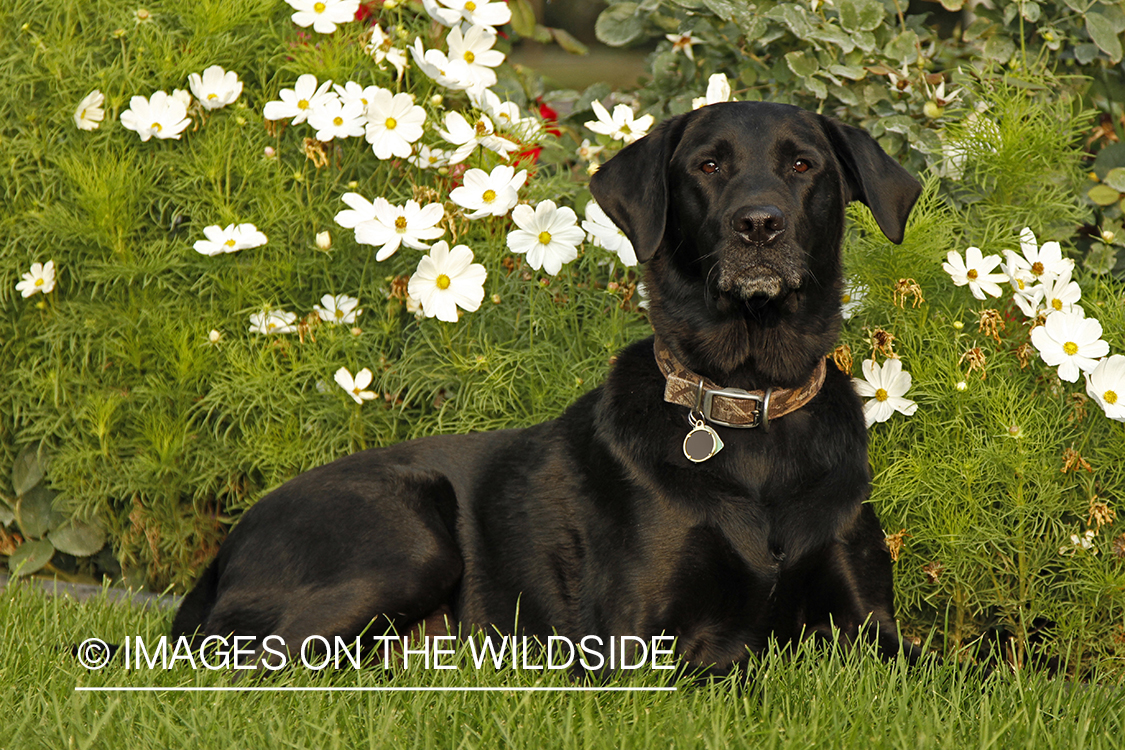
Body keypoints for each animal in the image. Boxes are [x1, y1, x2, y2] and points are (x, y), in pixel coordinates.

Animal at [168, 101, 922, 674]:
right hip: (405, 540)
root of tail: (223, 551)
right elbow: (742, 663)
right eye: (708, 166)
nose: (759, 225)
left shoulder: (875, 631)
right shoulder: (636, 646)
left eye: (803, 165)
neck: (750, 403)